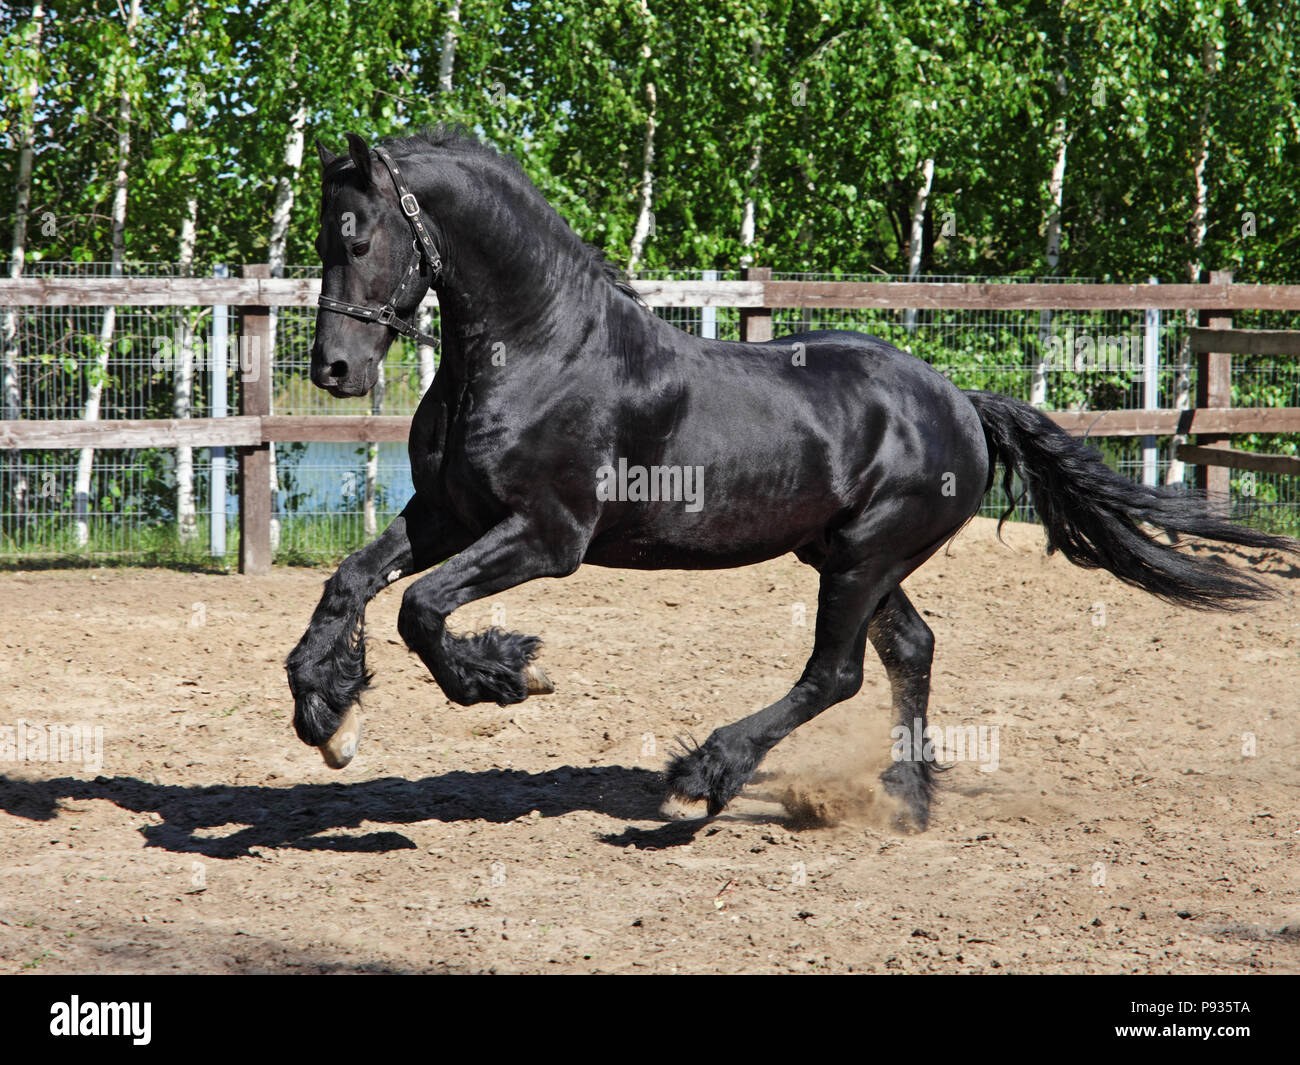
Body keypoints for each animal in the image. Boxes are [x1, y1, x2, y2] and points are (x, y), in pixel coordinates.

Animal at [286, 127, 1296, 831]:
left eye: (359, 237)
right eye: (325, 238)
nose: (333, 369)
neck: (539, 349)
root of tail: (961, 401)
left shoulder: (549, 536)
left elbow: (421, 608)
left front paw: (504, 675)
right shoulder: (450, 512)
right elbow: (353, 581)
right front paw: (325, 714)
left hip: (864, 555)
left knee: (837, 672)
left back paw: (703, 775)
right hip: (852, 554)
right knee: (910, 650)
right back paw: (905, 801)